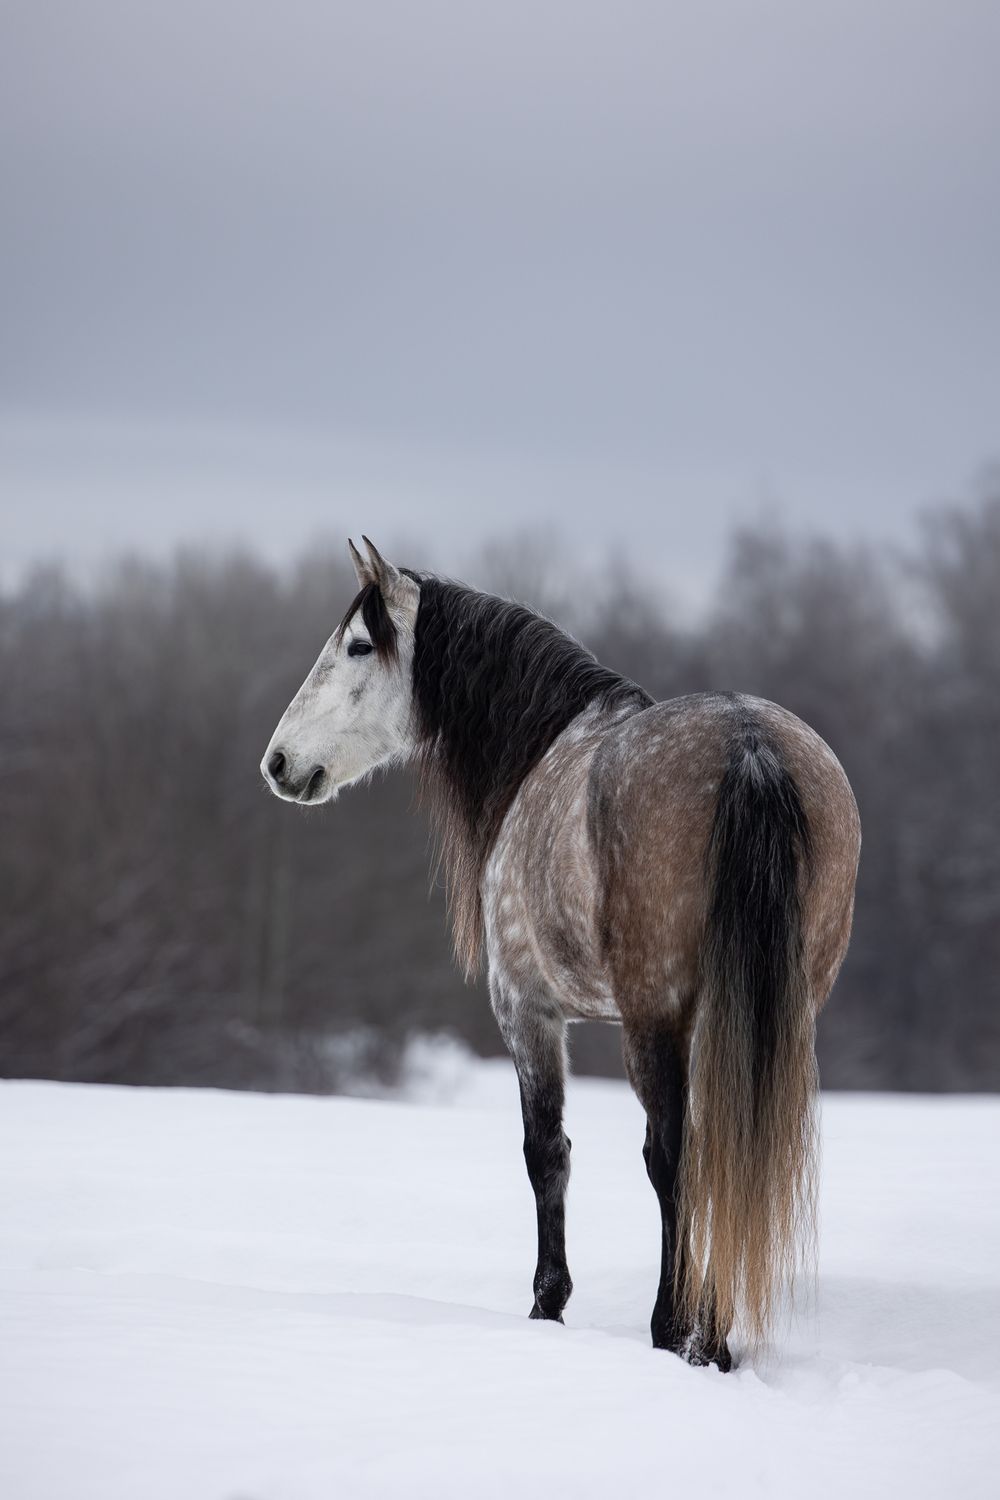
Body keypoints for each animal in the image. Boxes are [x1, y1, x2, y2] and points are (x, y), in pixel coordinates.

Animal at [261, 537, 861, 1368]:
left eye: (356, 645)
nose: (279, 763)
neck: (543, 753)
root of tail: (750, 747)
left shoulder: (527, 1012)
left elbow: (546, 1152)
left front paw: (549, 1303)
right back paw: (713, 1328)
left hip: (651, 1019)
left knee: (670, 1156)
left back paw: (677, 1328)